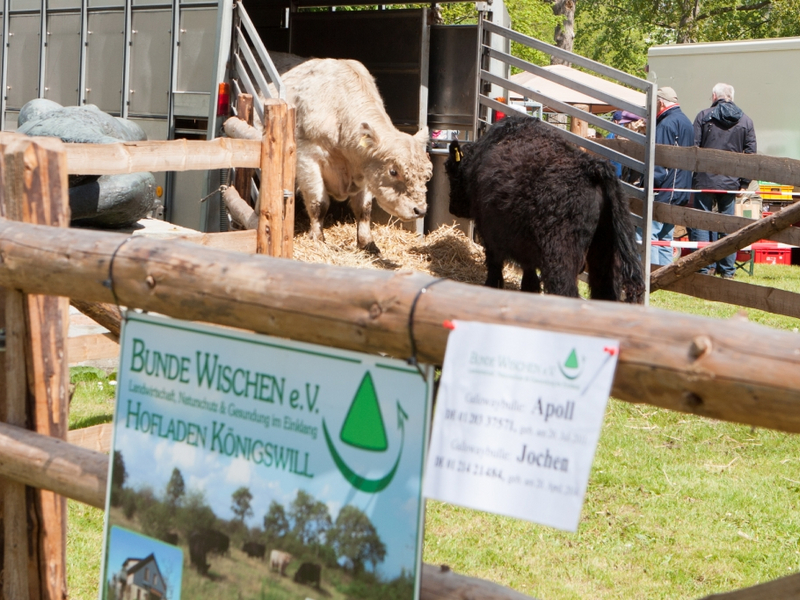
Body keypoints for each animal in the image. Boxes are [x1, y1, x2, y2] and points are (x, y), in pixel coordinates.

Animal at [446, 116, 648, 304]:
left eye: (449, 171)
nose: (452, 208)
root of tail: (593, 169)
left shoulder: (490, 235)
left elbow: (495, 268)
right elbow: (529, 278)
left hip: (561, 259)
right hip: (605, 256)